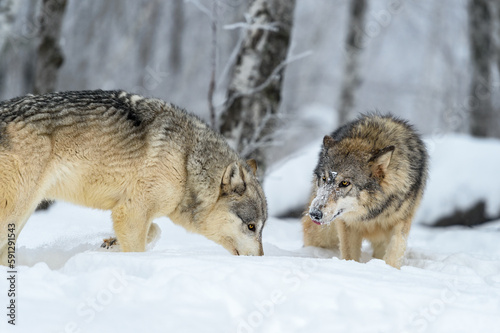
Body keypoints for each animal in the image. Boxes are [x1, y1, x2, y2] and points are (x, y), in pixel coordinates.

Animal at [0, 89, 268, 264]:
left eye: (262, 228)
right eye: (251, 226)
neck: (186, 161)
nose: (261, 260)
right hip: (16, 211)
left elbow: (155, 231)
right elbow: (140, 247)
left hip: (23, 216)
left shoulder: (129, 212)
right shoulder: (131, 212)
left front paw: (110, 245)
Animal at [302, 114, 428, 268]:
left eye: (345, 183)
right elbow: (350, 256)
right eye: (324, 178)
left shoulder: (401, 223)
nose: (315, 214)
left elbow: (394, 254)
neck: (372, 213)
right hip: (322, 234)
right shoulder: (347, 225)